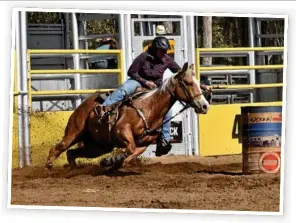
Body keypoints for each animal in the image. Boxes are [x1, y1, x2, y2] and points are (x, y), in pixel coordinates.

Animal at [44, 62, 210, 171]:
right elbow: (129, 148)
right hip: (74, 132)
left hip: (98, 146)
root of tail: (82, 105)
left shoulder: (143, 143)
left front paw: (112, 161)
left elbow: (131, 154)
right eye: (188, 83)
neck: (149, 108)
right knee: (58, 148)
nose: (205, 105)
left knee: (71, 153)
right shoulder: (122, 130)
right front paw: (111, 160)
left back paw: (73, 169)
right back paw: (49, 167)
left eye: (198, 83)